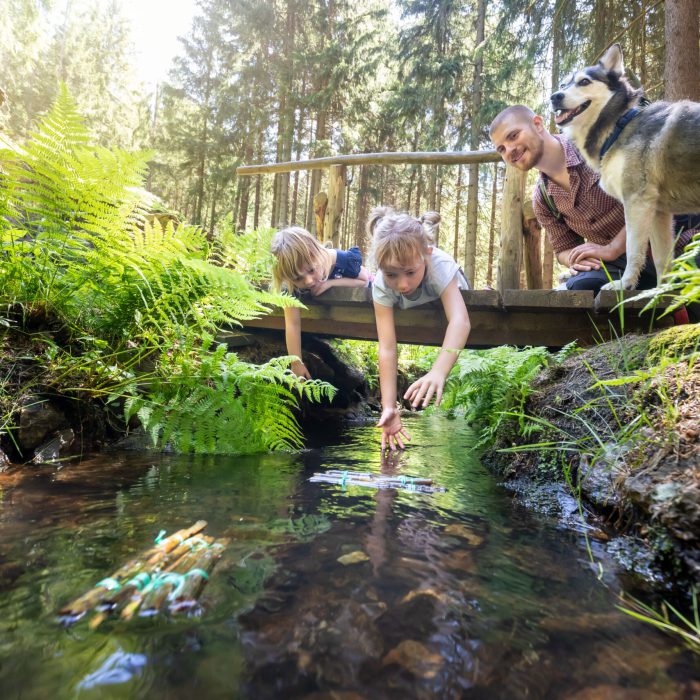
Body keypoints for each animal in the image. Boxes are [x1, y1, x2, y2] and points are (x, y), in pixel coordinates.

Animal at [548, 44, 700, 290]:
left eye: (584, 82)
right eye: (563, 85)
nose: (554, 97)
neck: (619, 124)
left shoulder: (636, 201)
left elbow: (632, 250)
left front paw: (624, 285)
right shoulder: (659, 212)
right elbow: (662, 260)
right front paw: (660, 292)